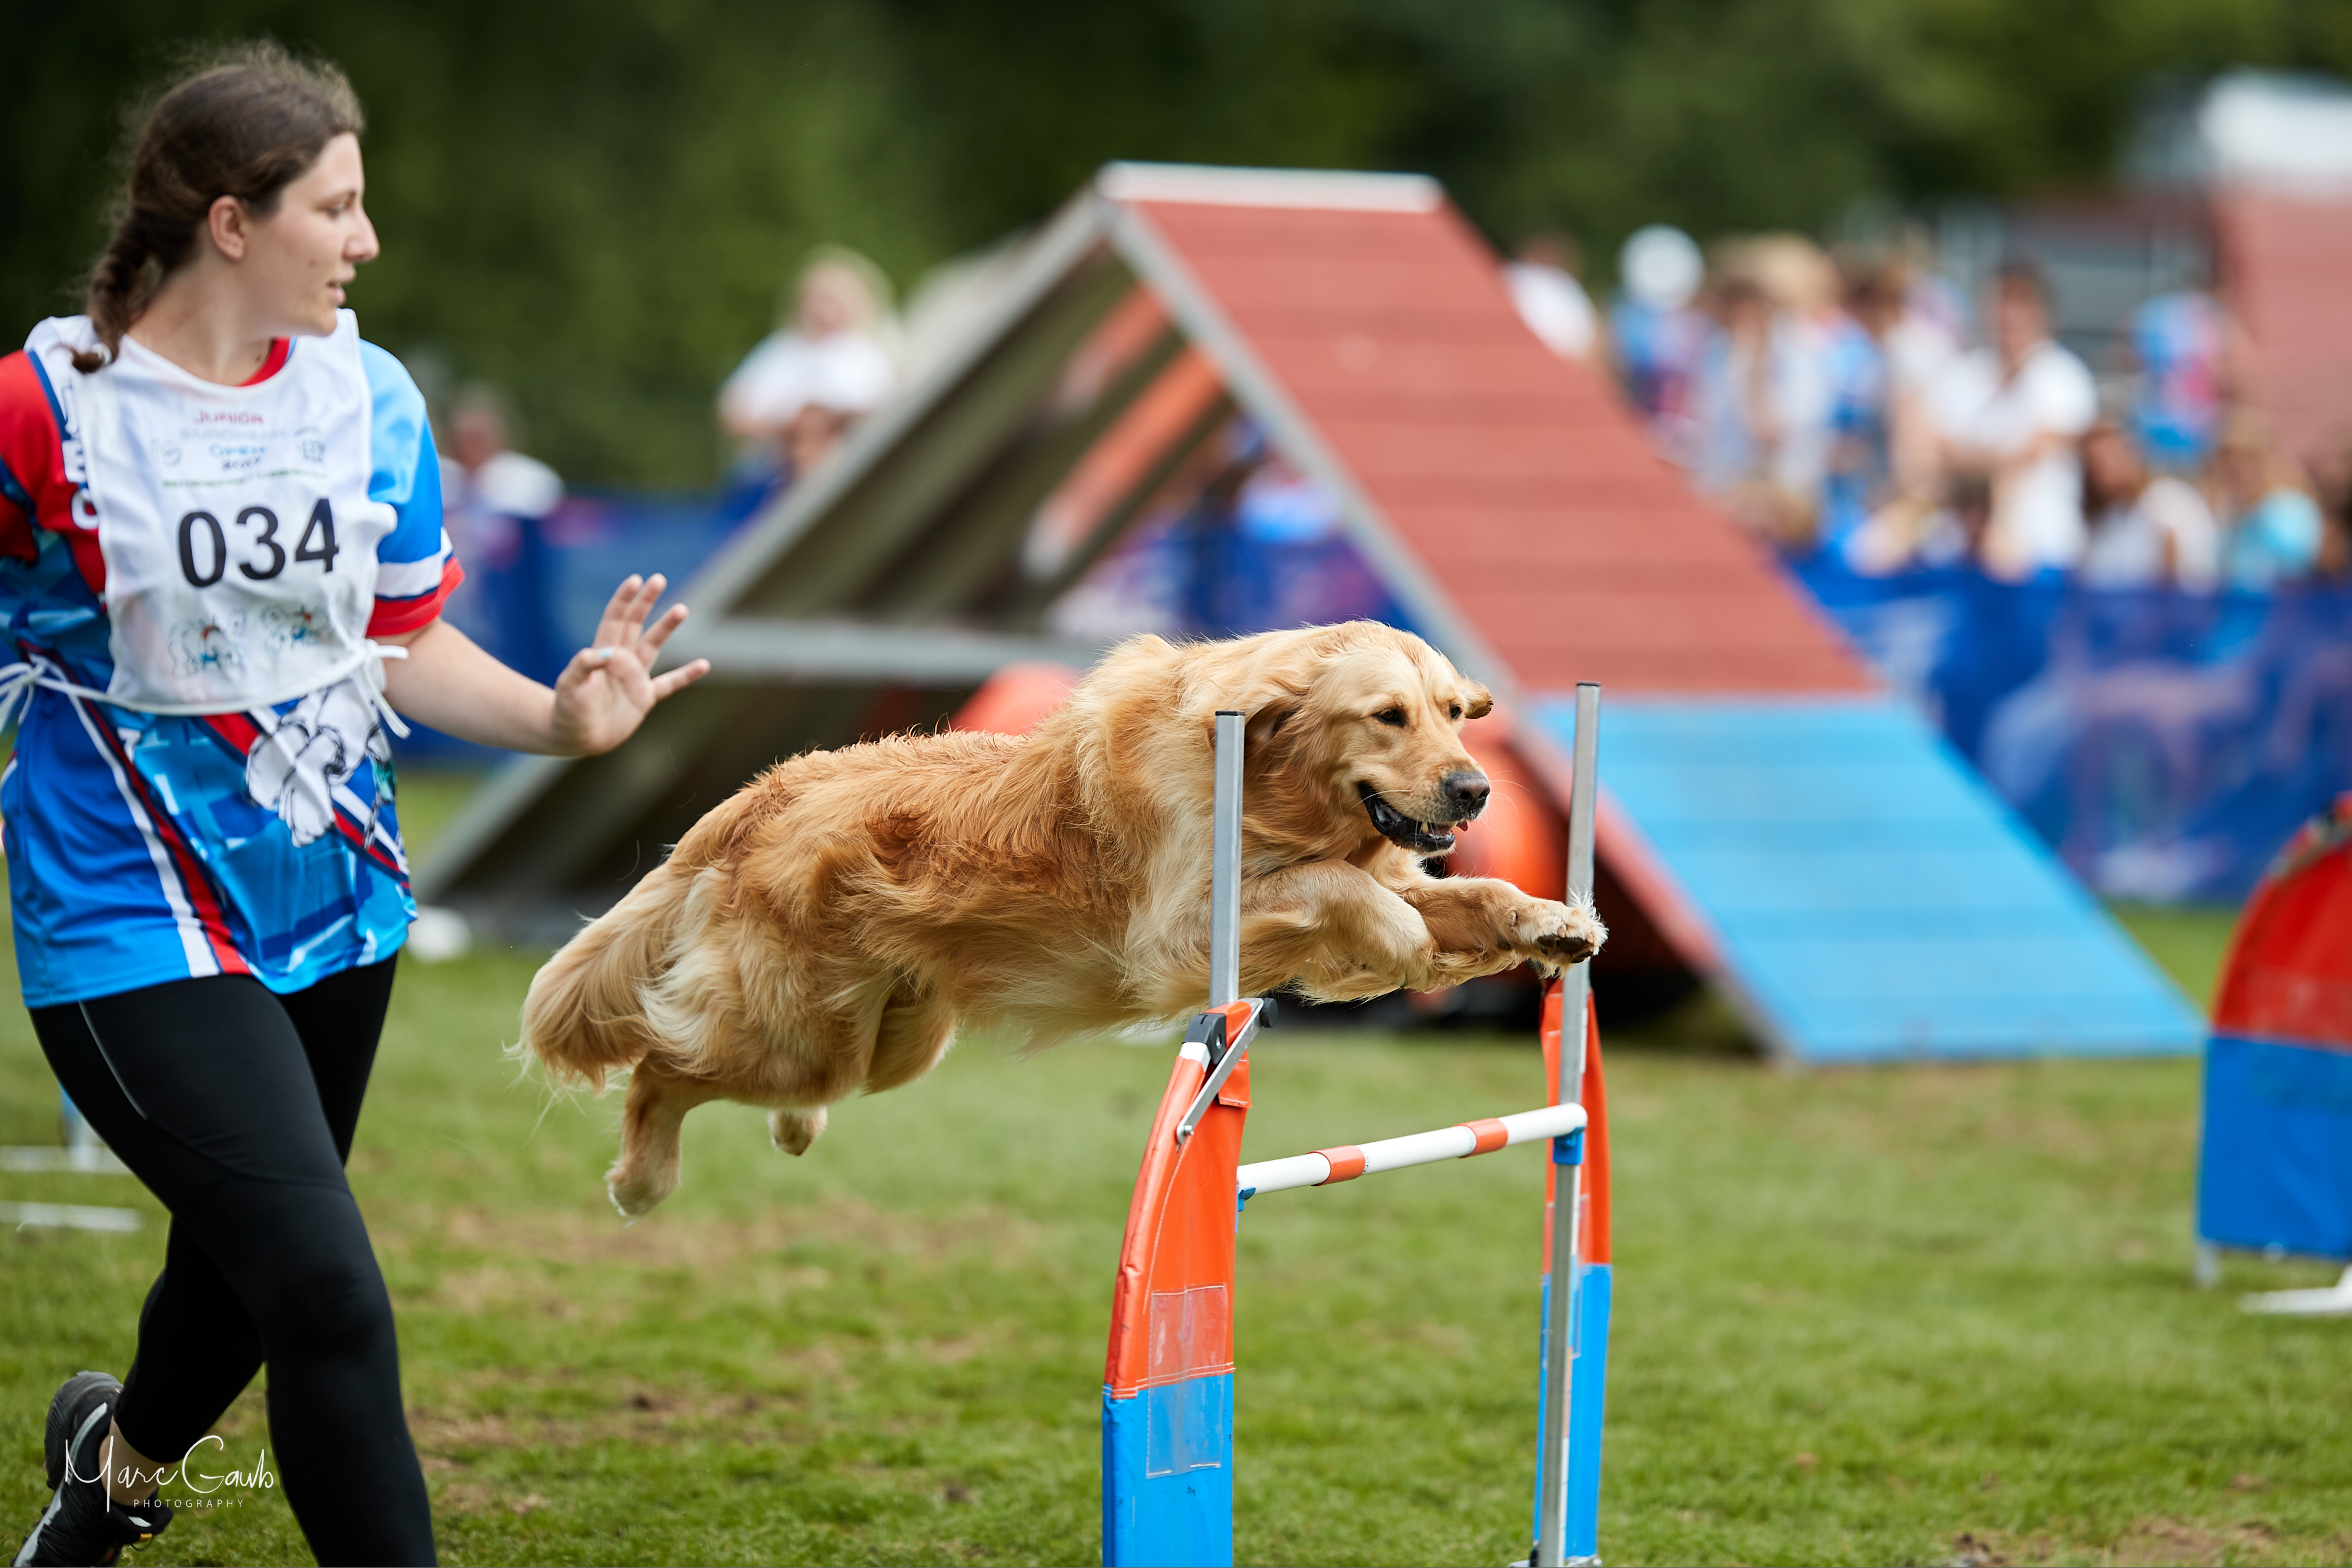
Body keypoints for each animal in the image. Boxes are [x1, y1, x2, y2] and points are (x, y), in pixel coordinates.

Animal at [521, 621, 1605, 1216]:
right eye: (1387, 715)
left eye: (1452, 712)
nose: (1474, 790)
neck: (1275, 784)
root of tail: (755, 797)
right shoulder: (1180, 926)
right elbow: (1350, 892)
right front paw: (1401, 940)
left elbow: (1464, 893)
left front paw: (1551, 923)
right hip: (796, 1033)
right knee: (663, 1069)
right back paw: (640, 1182)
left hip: (888, 1041)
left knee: (759, 1078)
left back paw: (794, 1129)